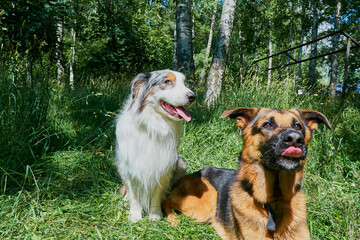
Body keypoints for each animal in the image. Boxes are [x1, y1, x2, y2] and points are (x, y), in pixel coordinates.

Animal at [165, 108, 330, 239]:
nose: (295, 139)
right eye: (267, 124)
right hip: (205, 204)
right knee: (167, 200)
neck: (274, 201)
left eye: (298, 126)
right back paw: (172, 219)